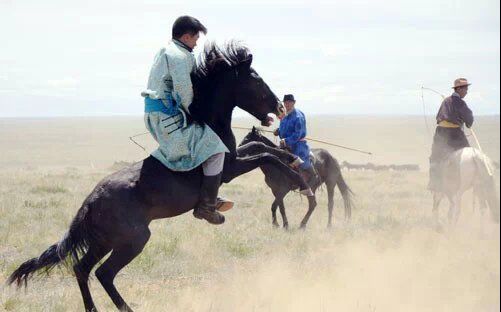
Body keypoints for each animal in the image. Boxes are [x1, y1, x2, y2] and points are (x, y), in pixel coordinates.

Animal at [6, 41, 312, 312]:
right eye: (256, 80)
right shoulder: (229, 167)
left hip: (104, 240)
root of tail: (91, 202)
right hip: (133, 240)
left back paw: (93, 309)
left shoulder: (234, 157)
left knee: (82, 268)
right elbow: (264, 155)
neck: (207, 121)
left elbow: (261, 147)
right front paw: (300, 181)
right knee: (104, 273)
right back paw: (127, 308)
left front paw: (293, 159)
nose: (279, 107)